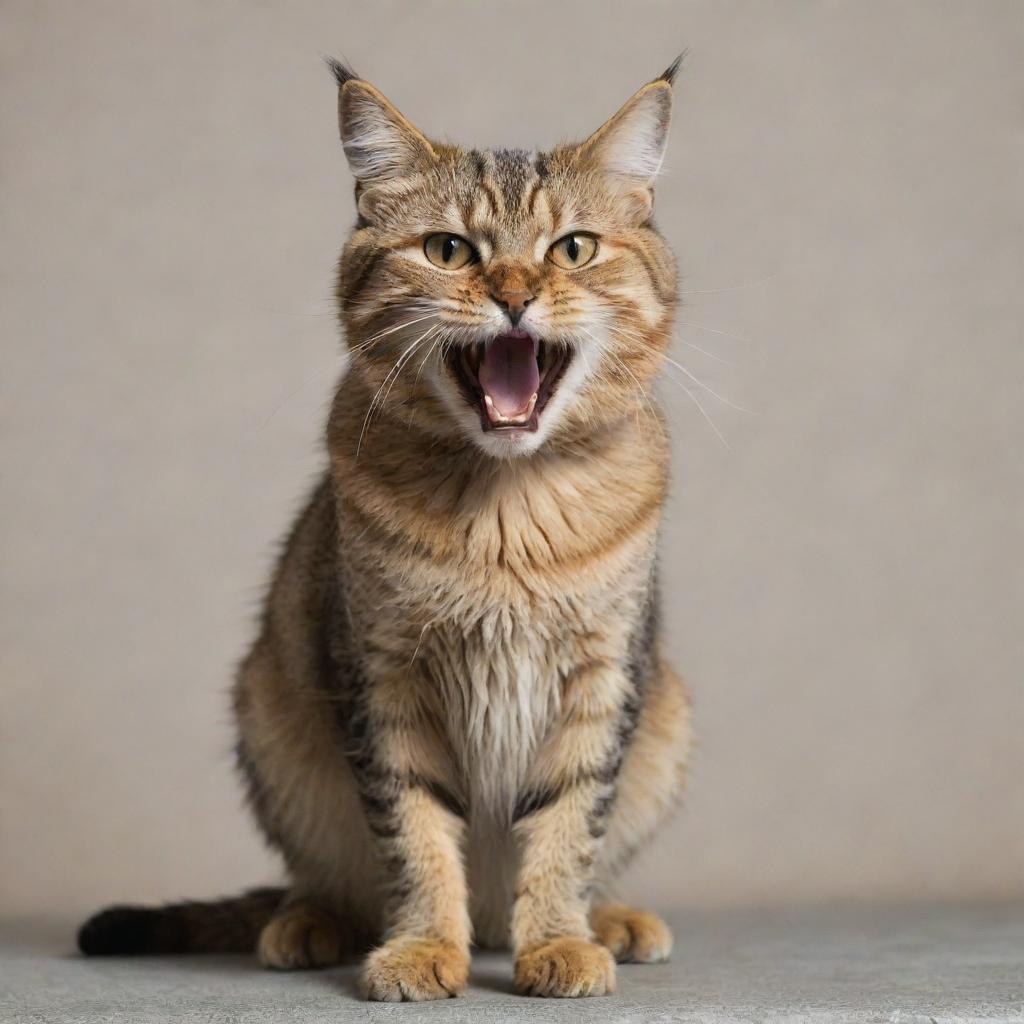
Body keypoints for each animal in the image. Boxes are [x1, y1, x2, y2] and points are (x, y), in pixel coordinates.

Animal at [77, 56, 696, 999]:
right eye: (450, 250)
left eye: (573, 248)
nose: (515, 295)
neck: (507, 510)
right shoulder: (383, 676)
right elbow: (414, 832)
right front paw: (422, 947)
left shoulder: (605, 677)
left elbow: (568, 826)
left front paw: (558, 940)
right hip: (270, 712)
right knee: (329, 878)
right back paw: (312, 921)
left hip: (666, 717)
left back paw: (610, 919)